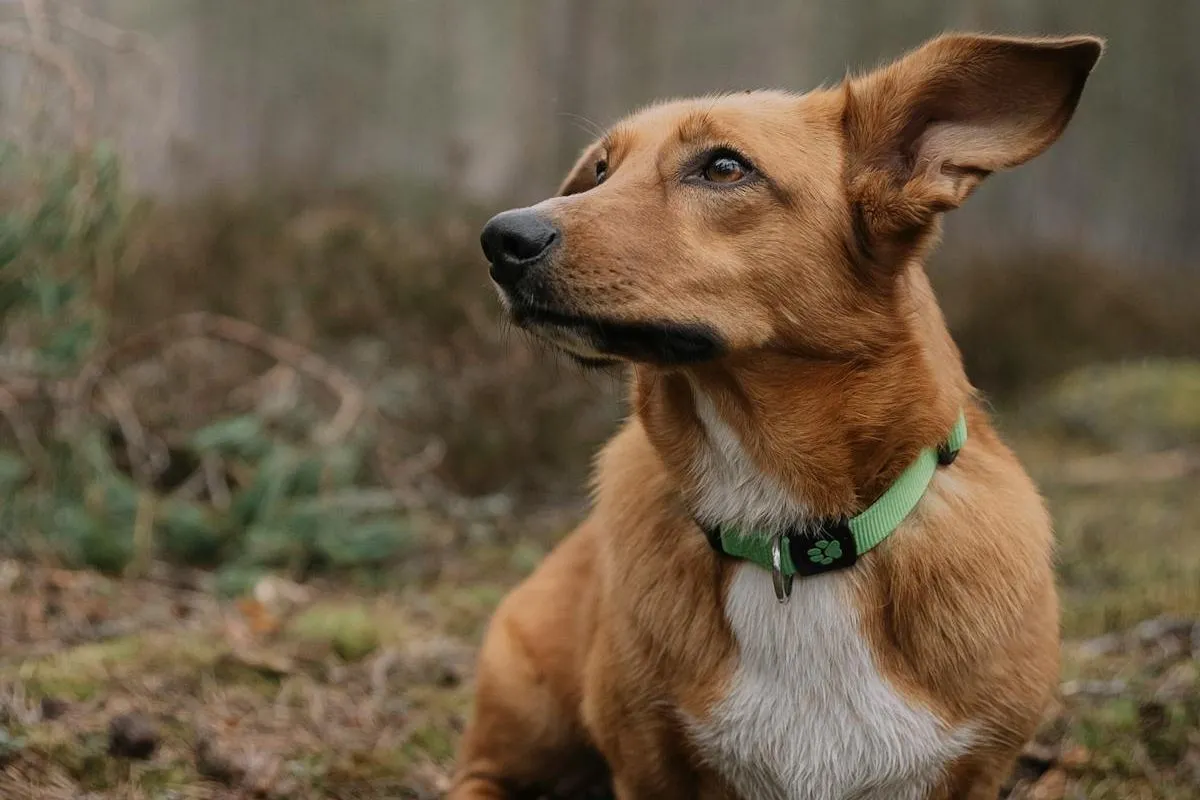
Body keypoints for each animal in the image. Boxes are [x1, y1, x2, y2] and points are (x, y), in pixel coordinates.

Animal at [453, 32, 1099, 800]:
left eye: (724, 167)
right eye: (601, 170)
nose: (501, 239)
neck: (784, 532)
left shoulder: (975, 771)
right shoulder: (648, 767)